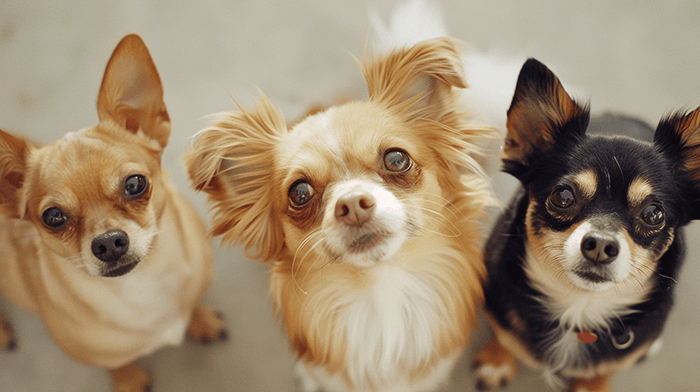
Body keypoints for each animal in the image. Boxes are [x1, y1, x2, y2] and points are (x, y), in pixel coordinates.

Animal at [474, 59, 696, 392]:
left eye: (654, 214)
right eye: (563, 197)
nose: (601, 245)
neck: (580, 309)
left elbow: (605, 369)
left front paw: (593, 384)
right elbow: (502, 334)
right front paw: (497, 359)